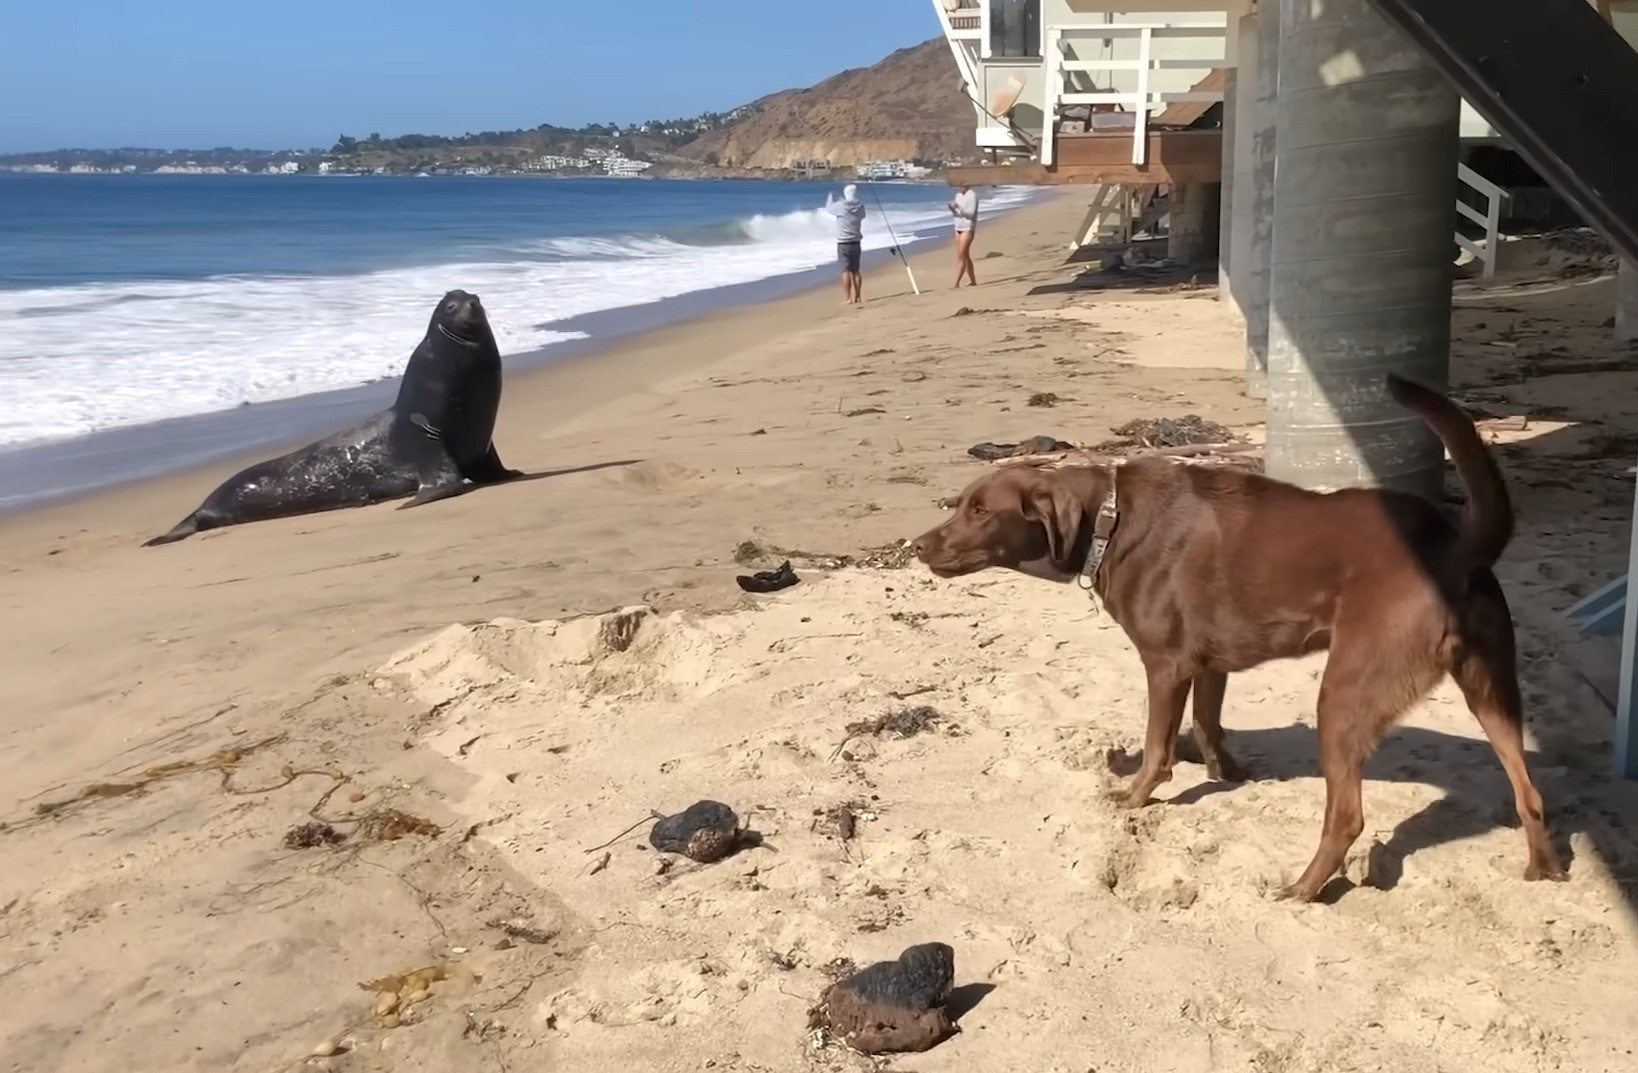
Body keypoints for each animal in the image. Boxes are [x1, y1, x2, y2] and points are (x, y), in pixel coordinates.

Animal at [917, 373, 1565, 904]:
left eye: (980, 510)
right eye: (963, 505)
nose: (918, 545)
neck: (1108, 520)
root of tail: (1454, 545)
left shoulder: (1166, 665)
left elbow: (1156, 747)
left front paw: (1135, 795)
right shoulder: (1211, 663)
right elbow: (1209, 724)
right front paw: (1227, 772)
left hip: (1346, 694)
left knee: (1347, 816)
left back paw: (1303, 888)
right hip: (1493, 689)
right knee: (1528, 790)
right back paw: (1542, 868)